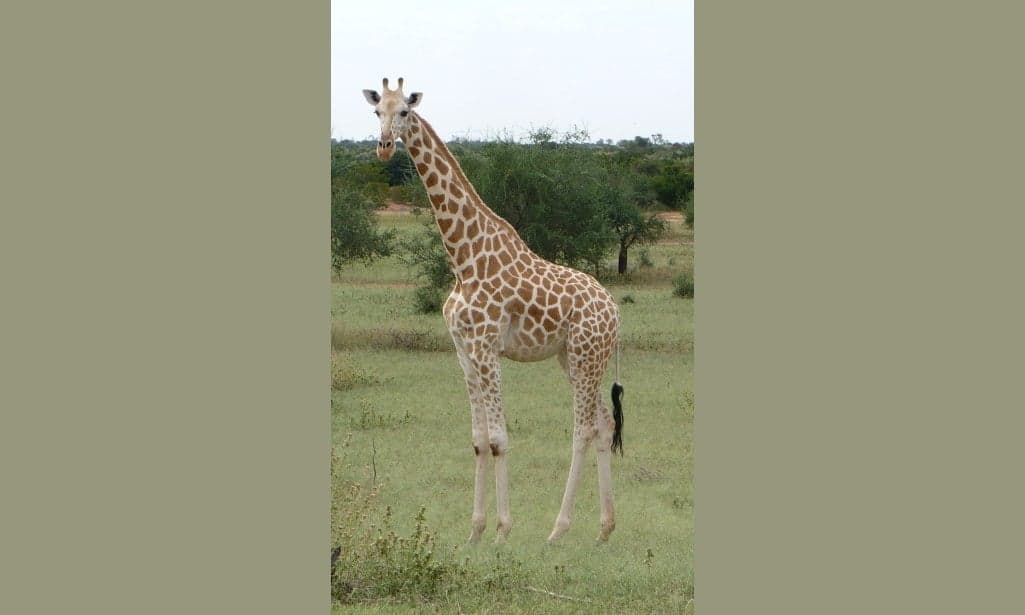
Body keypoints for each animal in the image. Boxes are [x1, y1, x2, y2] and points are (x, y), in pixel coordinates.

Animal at [362, 78, 625, 544]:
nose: (385, 146)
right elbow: (479, 439)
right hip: (573, 358)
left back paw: (558, 530)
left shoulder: (487, 347)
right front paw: (475, 532)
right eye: (378, 112)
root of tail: (614, 310)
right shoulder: (464, 350)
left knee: (582, 429)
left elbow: (500, 439)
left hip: (585, 355)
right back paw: (603, 530)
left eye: (405, 112)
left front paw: (503, 531)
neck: (463, 259)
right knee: (604, 424)